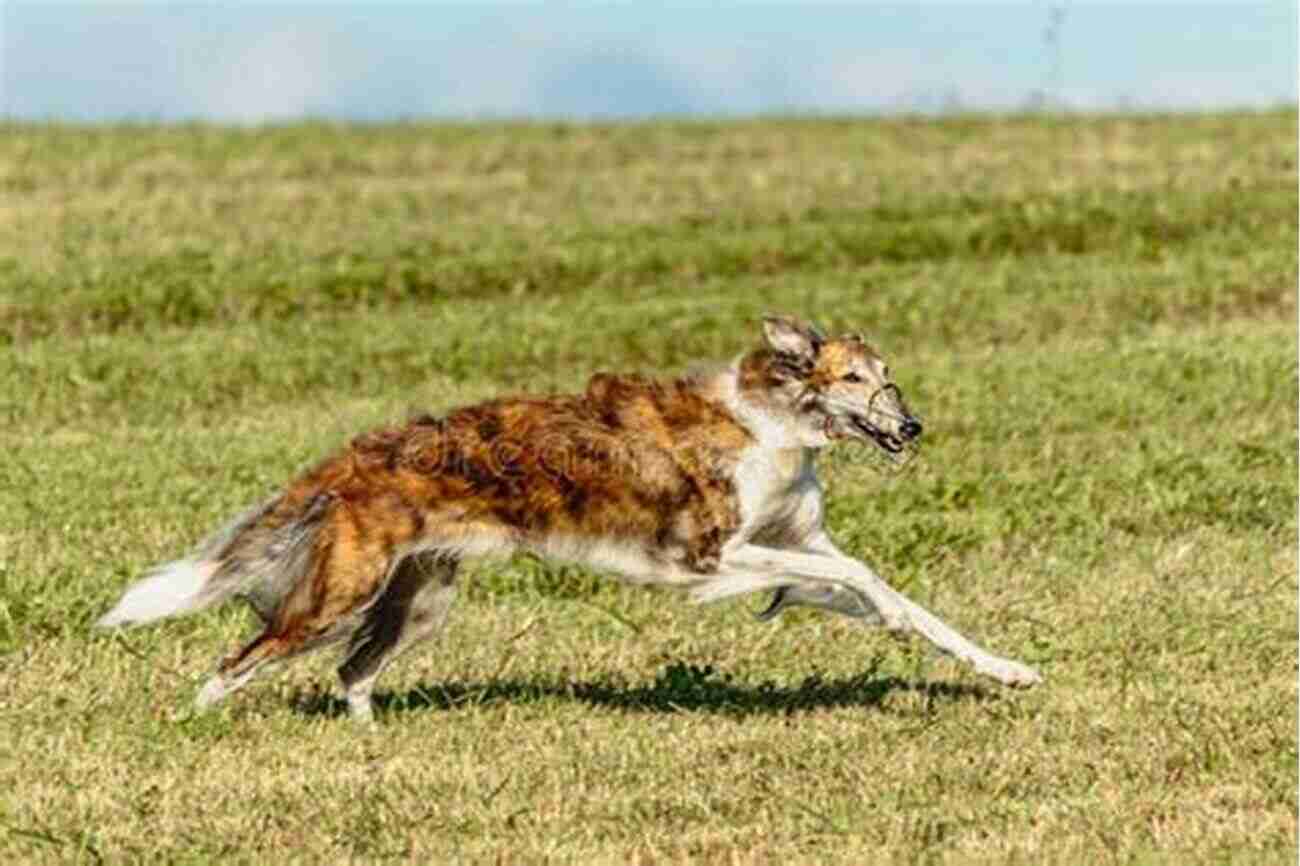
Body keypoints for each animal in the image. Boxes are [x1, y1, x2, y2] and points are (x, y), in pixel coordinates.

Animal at [96, 313, 1040, 717]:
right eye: (851, 378)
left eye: (889, 379)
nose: (911, 428)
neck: (770, 420)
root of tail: (354, 456)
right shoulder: (709, 557)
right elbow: (856, 577)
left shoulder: (790, 537)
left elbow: (890, 593)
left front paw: (1005, 669)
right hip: (337, 597)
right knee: (236, 659)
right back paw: (189, 726)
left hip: (418, 599)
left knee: (352, 675)